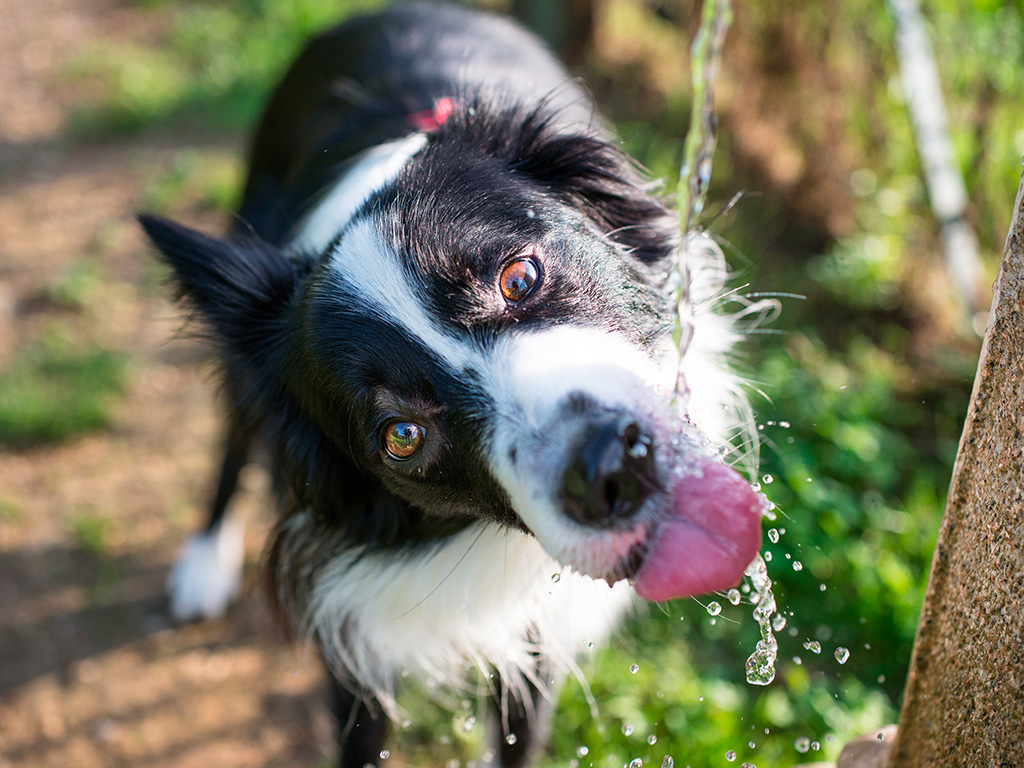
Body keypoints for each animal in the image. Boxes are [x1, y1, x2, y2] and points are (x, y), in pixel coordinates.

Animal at [144, 3, 765, 765]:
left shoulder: (537, 643)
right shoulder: (352, 638)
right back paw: (204, 560)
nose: (610, 469)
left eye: (519, 276)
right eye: (402, 436)